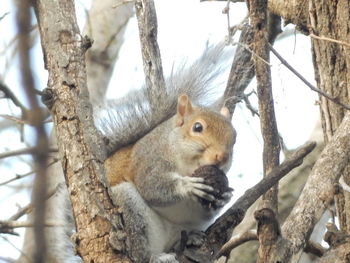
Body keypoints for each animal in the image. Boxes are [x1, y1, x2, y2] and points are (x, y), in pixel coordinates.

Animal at [95, 44, 235, 262]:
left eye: (234, 138)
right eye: (197, 127)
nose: (221, 157)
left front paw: (224, 197)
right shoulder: (149, 159)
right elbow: (151, 185)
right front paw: (187, 186)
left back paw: (191, 239)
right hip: (128, 206)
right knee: (139, 250)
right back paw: (155, 257)